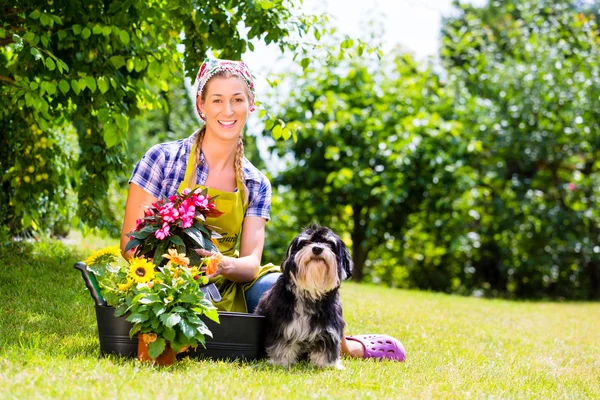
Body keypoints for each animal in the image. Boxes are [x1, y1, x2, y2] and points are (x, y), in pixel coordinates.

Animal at [253, 225, 352, 368]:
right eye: (306, 242)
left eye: (329, 243)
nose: (317, 249)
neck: (310, 293)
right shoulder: (283, 325)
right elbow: (281, 345)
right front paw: (280, 362)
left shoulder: (330, 327)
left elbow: (327, 348)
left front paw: (327, 365)